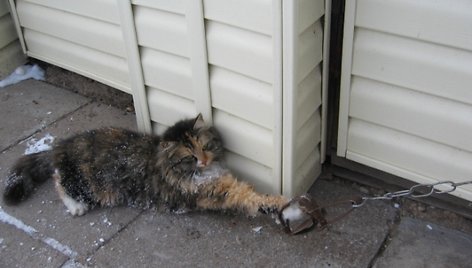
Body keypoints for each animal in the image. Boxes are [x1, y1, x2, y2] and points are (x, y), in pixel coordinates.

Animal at [3, 113, 290, 218]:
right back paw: (76, 207)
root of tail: (64, 145)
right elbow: (254, 197)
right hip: (93, 186)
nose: (205, 160)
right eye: (190, 157)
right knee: (59, 181)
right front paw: (282, 202)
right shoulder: (219, 192)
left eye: (205, 147)